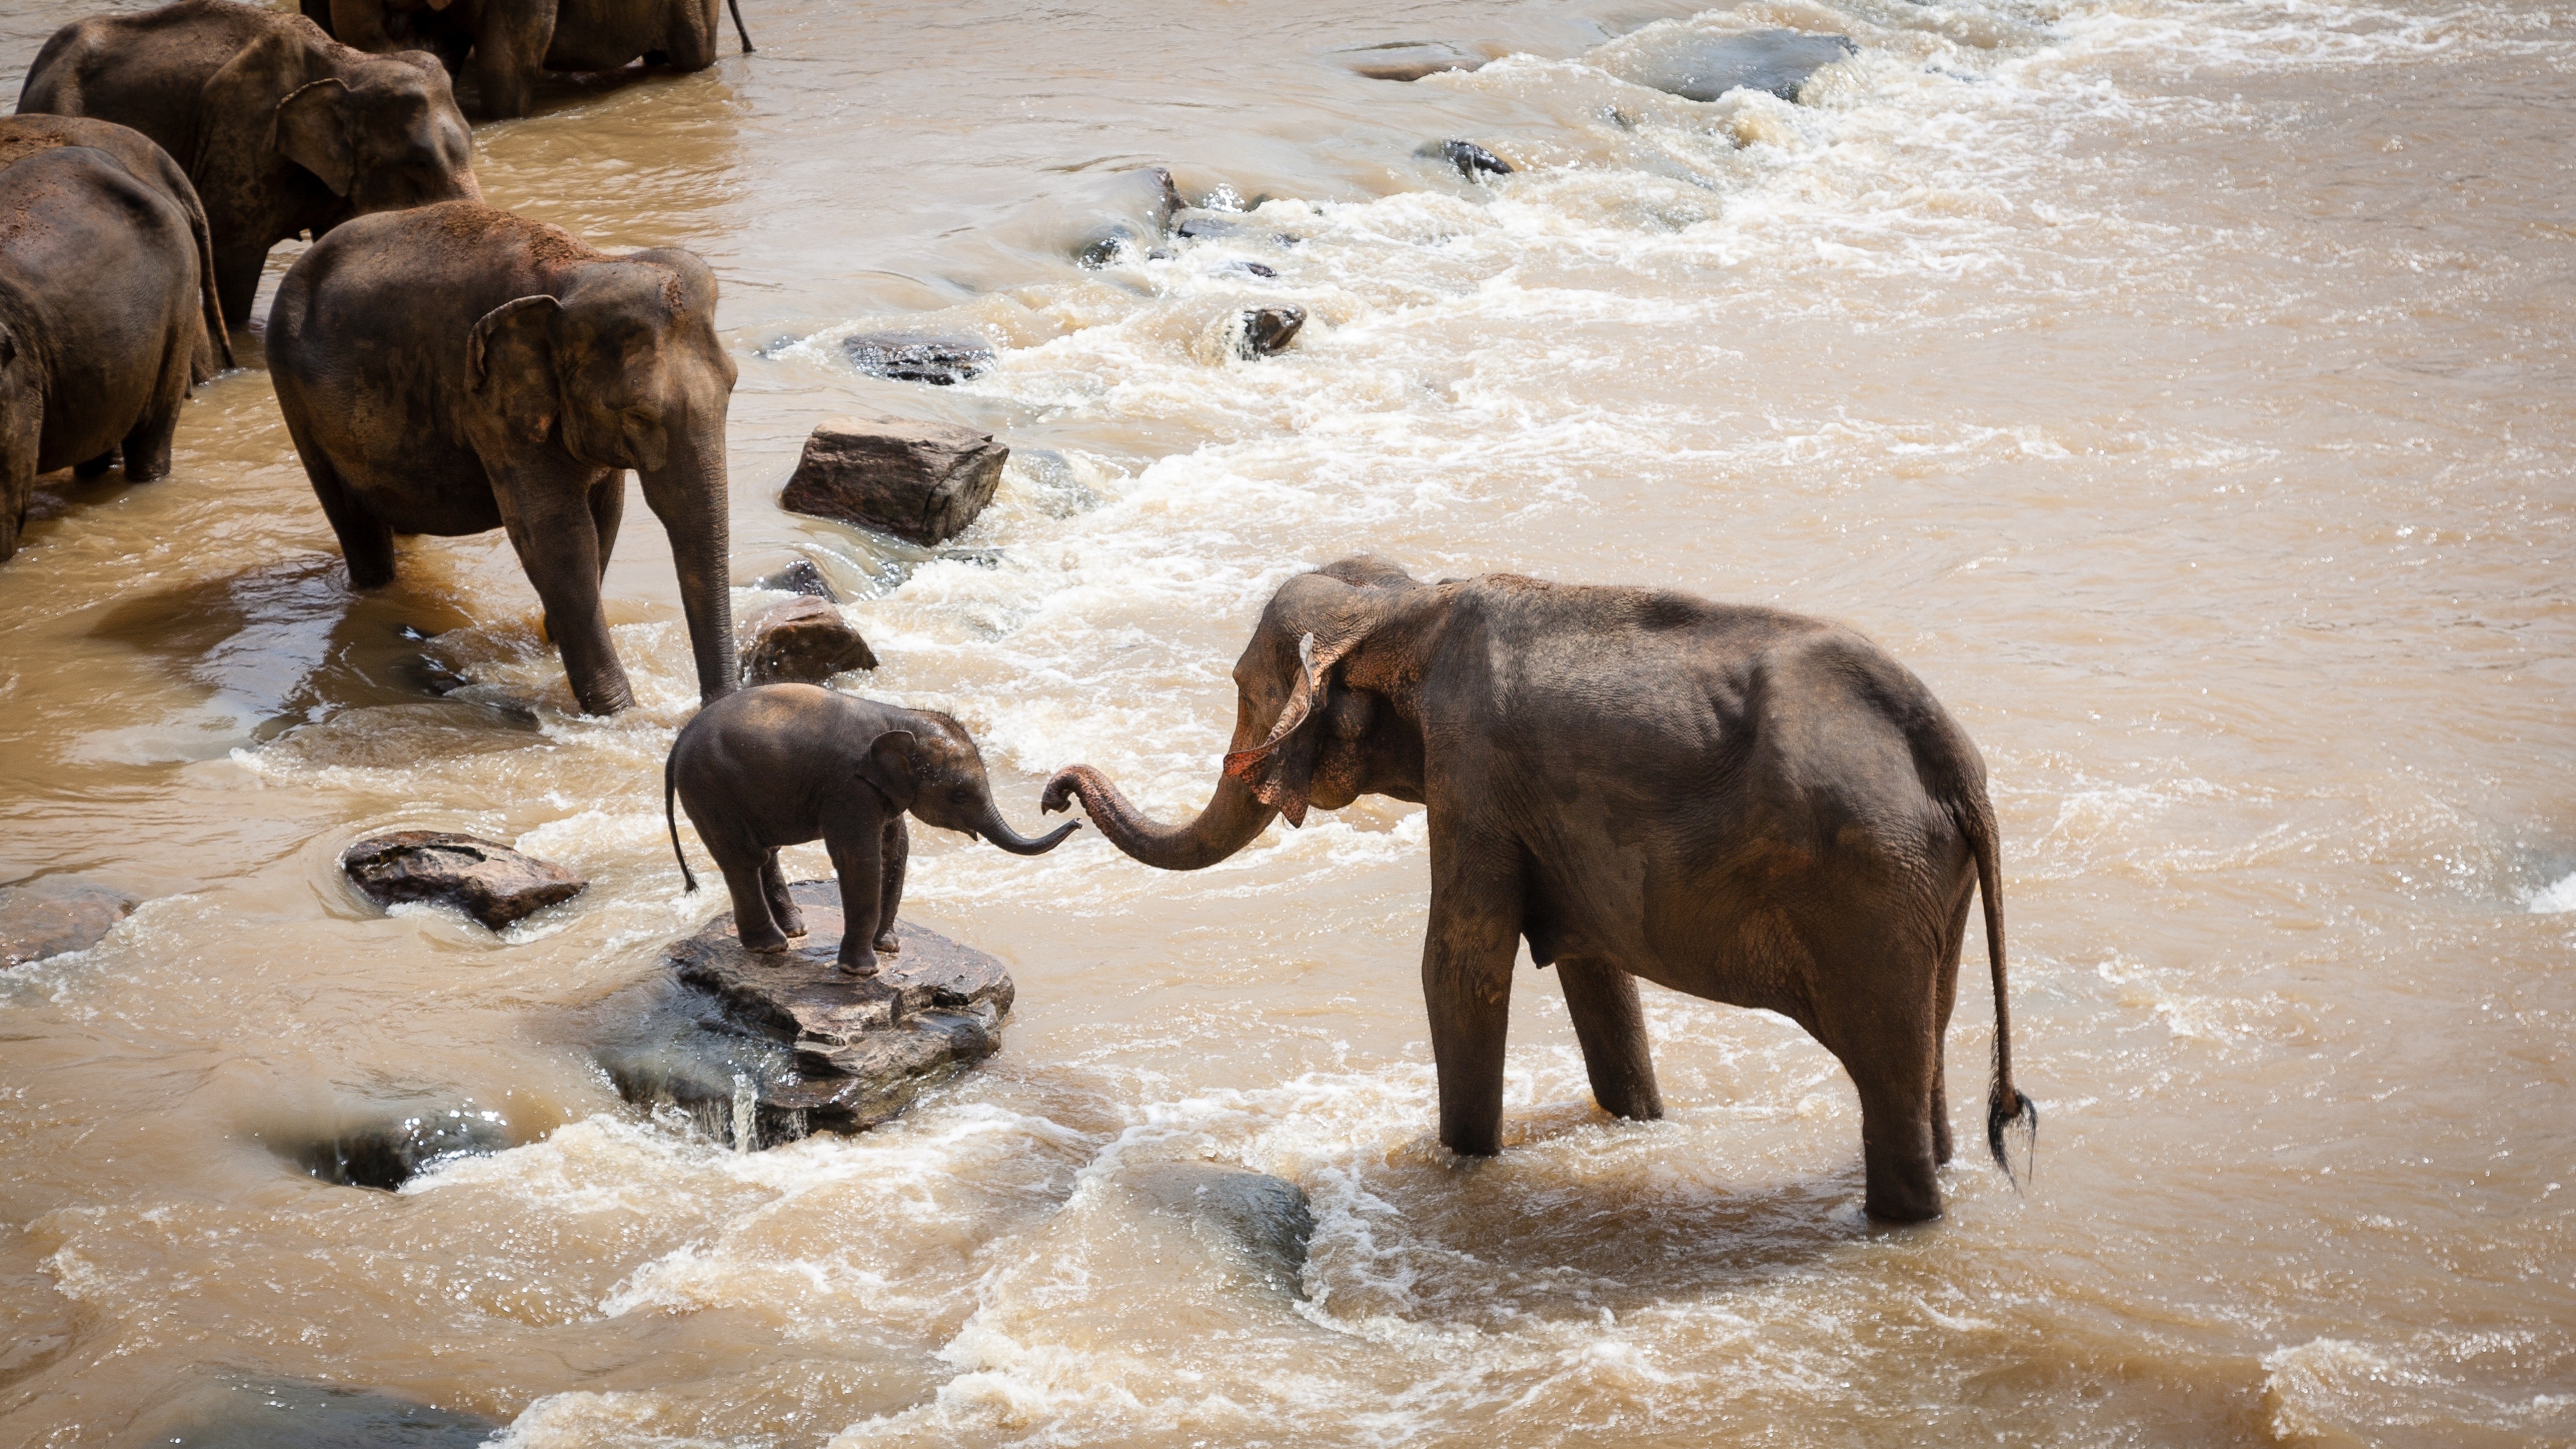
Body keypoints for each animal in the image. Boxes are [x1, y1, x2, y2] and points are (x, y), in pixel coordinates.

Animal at [266, 200, 738, 716]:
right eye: (638, 413)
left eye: (733, 384)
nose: (710, 707)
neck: (582, 268)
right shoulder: (487, 400)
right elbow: (556, 535)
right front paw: (617, 713)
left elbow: (604, 518)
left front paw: (557, 642)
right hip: (295, 400)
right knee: (355, 527)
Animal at [665, 683, 1080, 973]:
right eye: (959, 795)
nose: (1071, 813)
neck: (899, 718)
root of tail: (677, 743)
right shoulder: (850, 788)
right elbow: (859, 860)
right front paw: (862, 971)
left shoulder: (883, 790)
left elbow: (895, 850)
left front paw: (888, 947)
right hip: (710, 791)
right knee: (743, 858)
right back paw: (771, 946)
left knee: (763, 853)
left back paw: (795, 931)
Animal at [1043, 556, 2038, 1223]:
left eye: (1245, 690)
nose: (1055, 792)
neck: (1407, 605)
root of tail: (1954, 759)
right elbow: (1597, 972)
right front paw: (1637, 1121)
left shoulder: (1473, 776)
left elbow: (1459, 966)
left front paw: (1461, 1166)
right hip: (1922, 890)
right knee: (1926, 1045)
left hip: (1870, 886)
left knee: (1887, 1067)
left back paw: (1899, 1220)